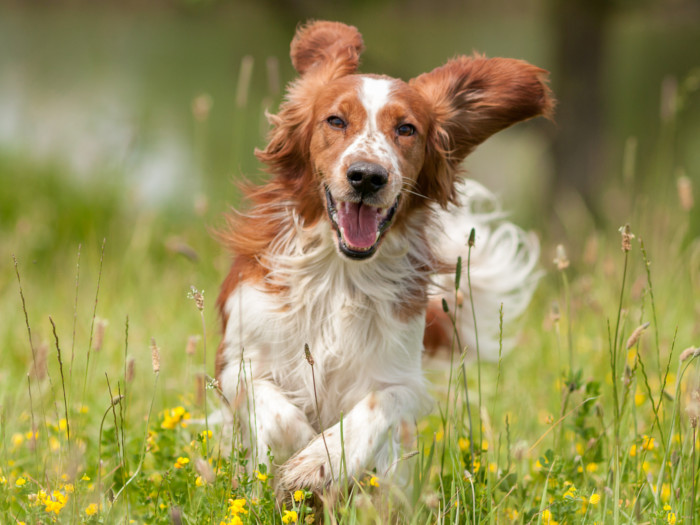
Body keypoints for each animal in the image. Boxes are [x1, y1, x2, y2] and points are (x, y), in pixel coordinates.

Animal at [215, 21, 552, 496]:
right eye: (335, 120)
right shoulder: (236, 359)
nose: (367, 176)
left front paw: (320, 461)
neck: (340, 272)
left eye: (406, 129)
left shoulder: (402, 375)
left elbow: (377, 404)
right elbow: (278, 414)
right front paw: (297, 452)